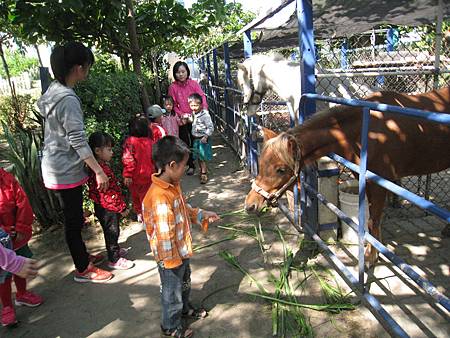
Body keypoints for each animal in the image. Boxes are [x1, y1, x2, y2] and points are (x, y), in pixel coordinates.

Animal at [244, 86, 450, 264]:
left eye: (281, 169)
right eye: (261, 164)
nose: (250, 205)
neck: (364, 133)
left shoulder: (379, 183)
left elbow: (373, 220)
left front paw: (370, 257)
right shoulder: (364, 181)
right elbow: (372, 218)